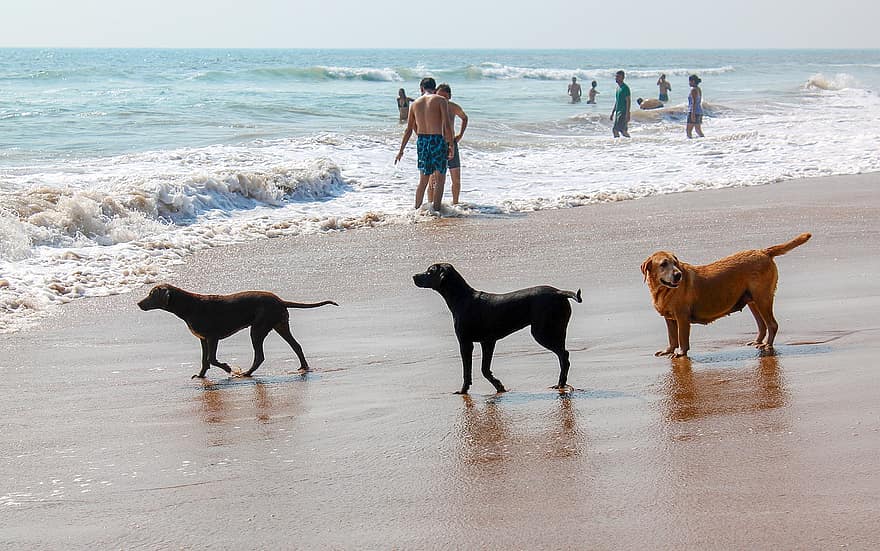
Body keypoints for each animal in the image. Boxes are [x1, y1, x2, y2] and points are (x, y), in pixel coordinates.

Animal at [138, 284, 336, 380]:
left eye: (151, 294)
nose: (138, 303)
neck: (188, 306)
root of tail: (280, 300)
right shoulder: (203, 339)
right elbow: (204, 360)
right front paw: (201, 375)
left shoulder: (212, 337)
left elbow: (211, 359)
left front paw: (228, 368)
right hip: (280, 325)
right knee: (297, 346)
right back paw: (304, 367)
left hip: (258, 329)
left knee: (260, 356)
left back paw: (246, 373)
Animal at [414, 264, 580, 392]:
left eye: (429, 271)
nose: (414, 276)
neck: (462, 299)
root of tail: (559, 292)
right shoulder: (487, 342)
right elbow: (485, 369)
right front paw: (499, 386)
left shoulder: (465, 343)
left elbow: (468, 371)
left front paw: (463, 391)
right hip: (557, 329)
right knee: (563, 355)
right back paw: (561, 383)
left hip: (543, 332)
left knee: (564, 355)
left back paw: (560, 384)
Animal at [640, 233, 812, 358]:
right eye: (663, 264)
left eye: (675, 263)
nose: (678, 275)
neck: (663, 290)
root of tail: (763, 251)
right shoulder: (669, 318)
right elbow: (672, 337)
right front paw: (669, 350)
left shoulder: (682, 317)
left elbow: (682, 339)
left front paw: (681, 353)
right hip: (753, 301)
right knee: (762, 325)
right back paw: (758, 341)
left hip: (762, 298)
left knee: (772, 324)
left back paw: (768, 345)